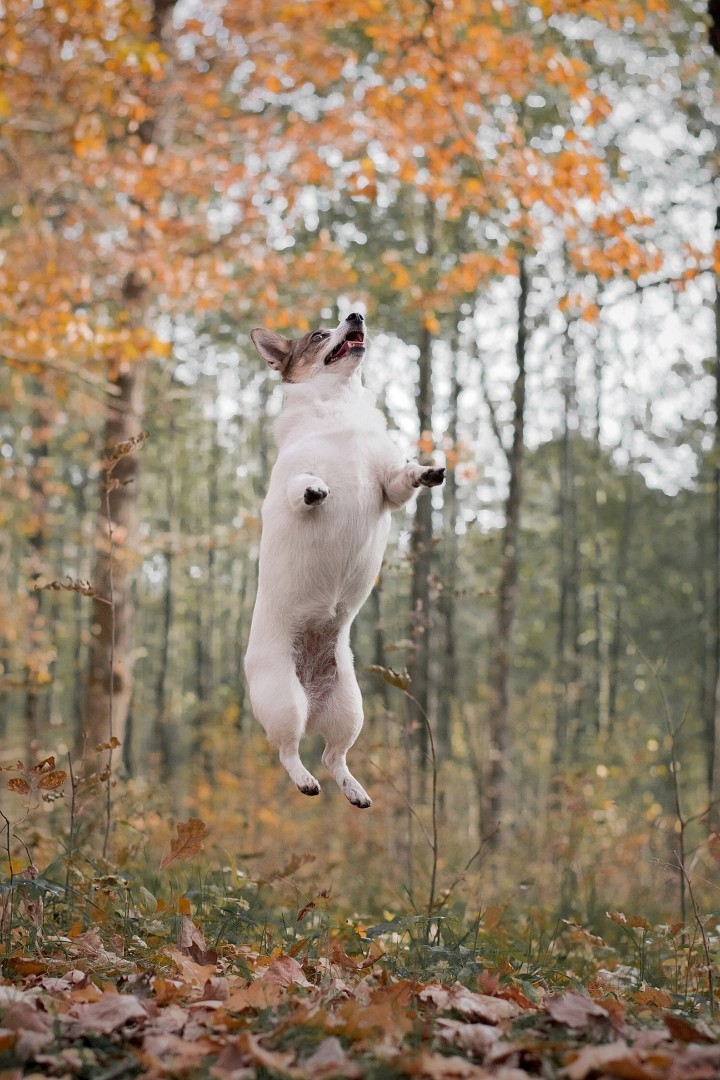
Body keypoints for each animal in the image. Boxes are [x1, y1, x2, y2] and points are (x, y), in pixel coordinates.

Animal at [243, 311, 444, 803]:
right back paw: (304, 780)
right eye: (318, 335)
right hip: (284, 701)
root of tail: (313, 701)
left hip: (350, 710)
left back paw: (353, 790)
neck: (339, 408)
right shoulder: (286, 489)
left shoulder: (390, 486)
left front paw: (426, 471)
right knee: (289, 751)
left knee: (333, 756)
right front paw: (316, 488)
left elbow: (404, 478)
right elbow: (302, 485)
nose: (356, 315)